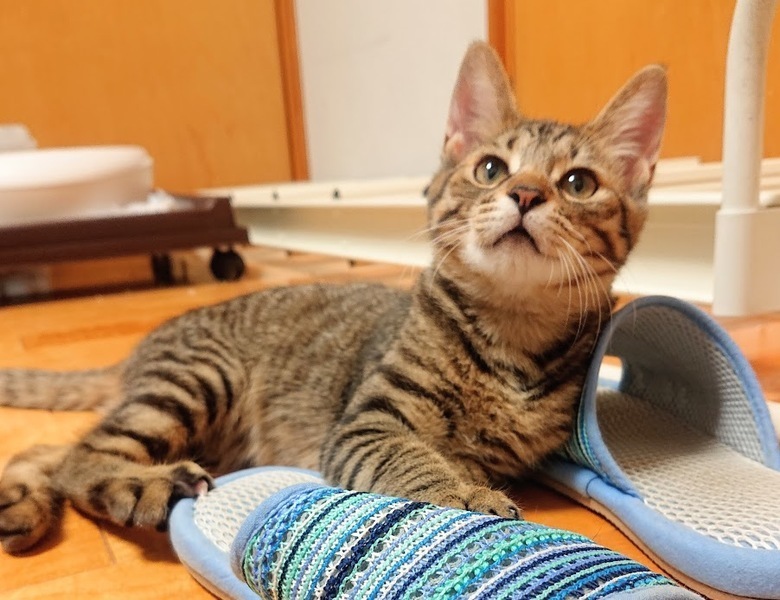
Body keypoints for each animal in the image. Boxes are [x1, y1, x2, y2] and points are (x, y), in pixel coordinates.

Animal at [0, 42, 666, 553]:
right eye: (490, 169)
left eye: (578, 183)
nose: (526, 194)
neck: (512, 331)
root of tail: (149, 344)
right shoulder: (367, 424)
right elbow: (417, 462)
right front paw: (461, 494)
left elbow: (459, 458)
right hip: (197, 380)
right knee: (83, 453)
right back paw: (136, 485)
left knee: (53, 447)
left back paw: (21, 503)